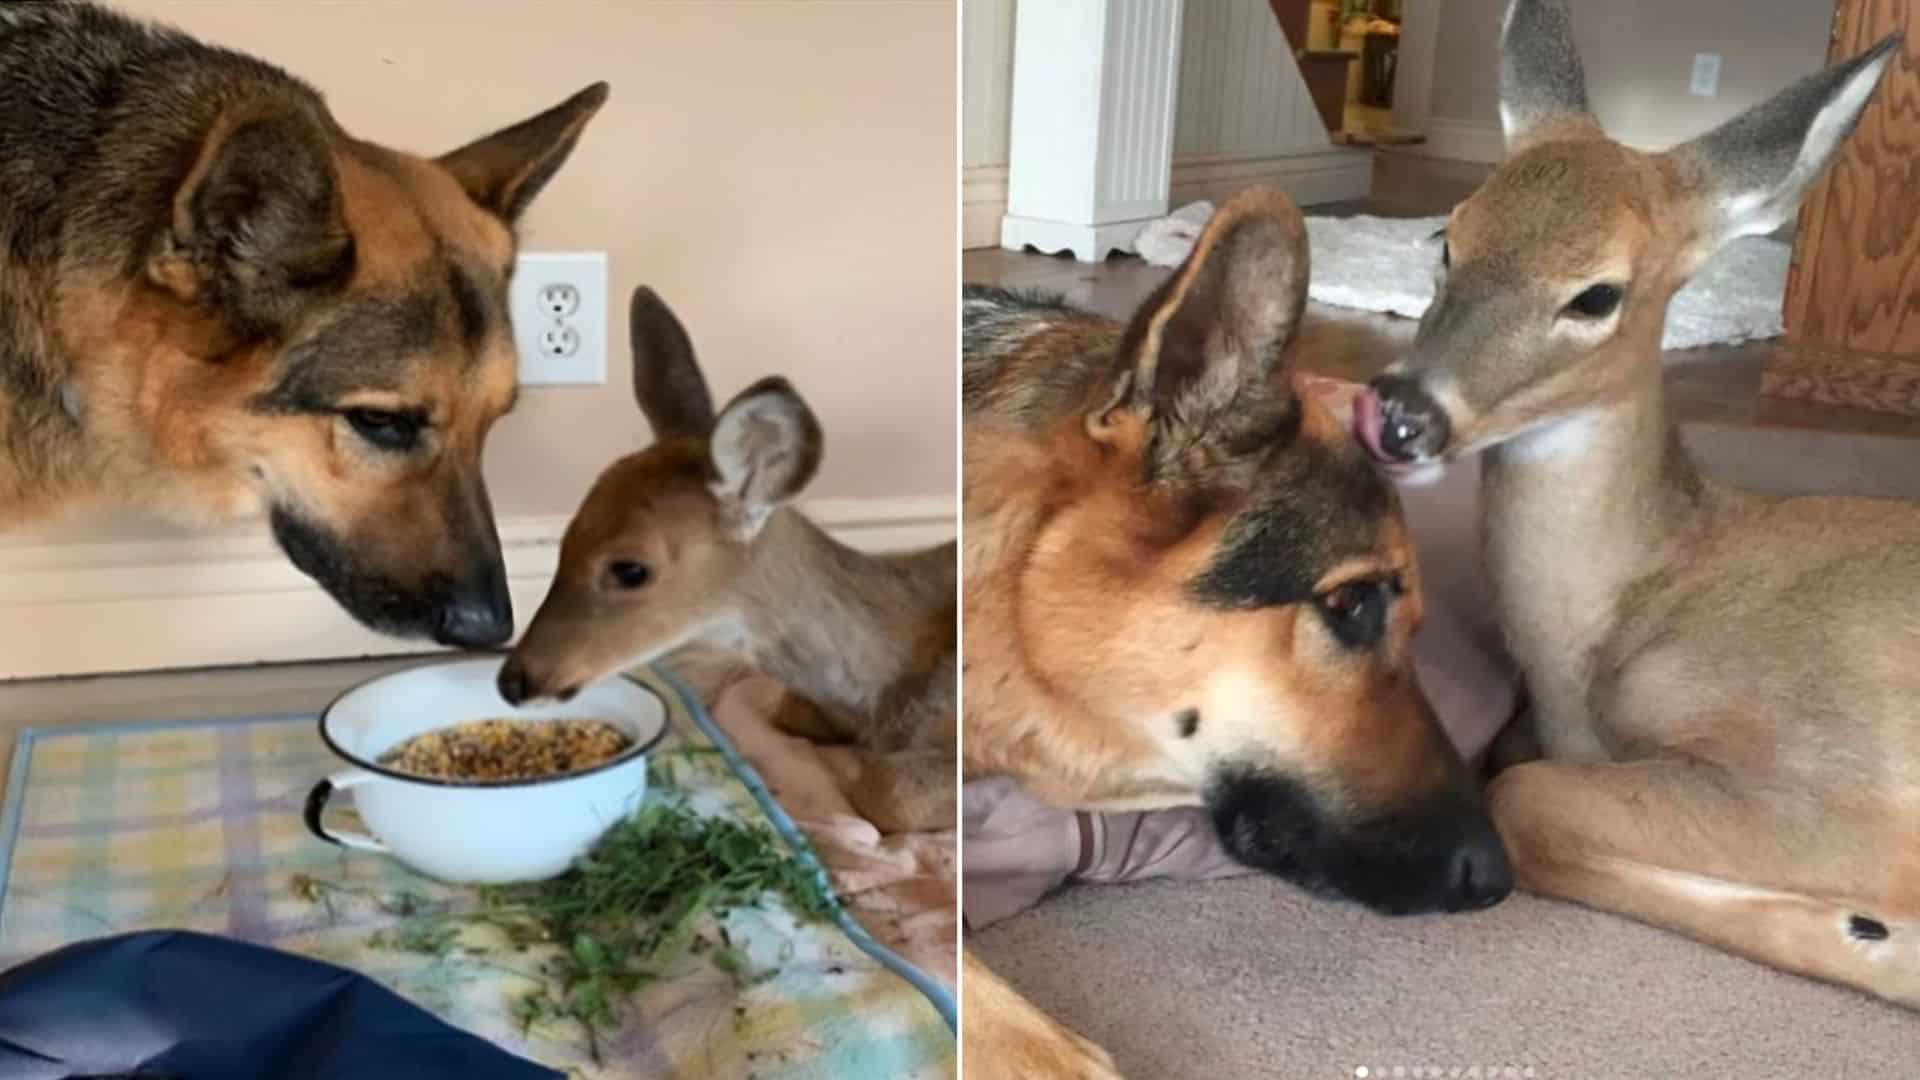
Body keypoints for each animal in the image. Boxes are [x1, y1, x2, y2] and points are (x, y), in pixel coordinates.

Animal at [1359, 0, 1912, 1006]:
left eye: (1597, 295)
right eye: (1446, 238)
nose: (1402, 414)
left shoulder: (1843, 784)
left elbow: (1524, 796)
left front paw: (1861, 931)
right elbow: (1517, 770)